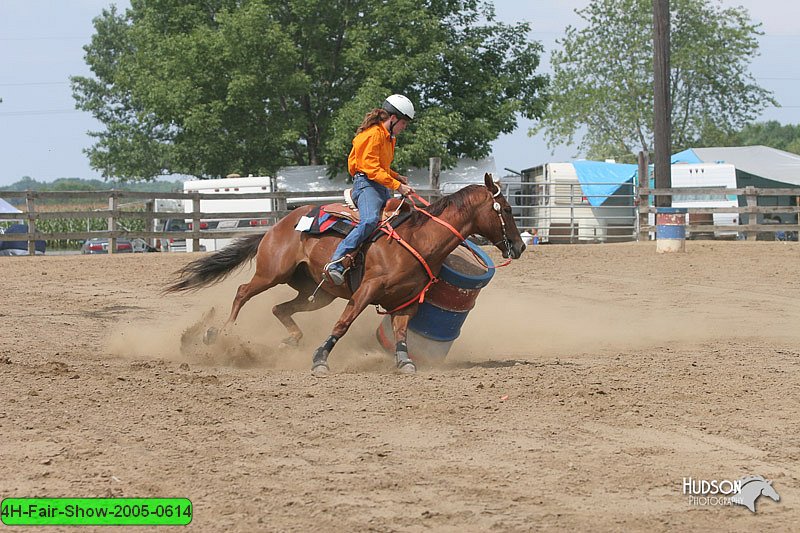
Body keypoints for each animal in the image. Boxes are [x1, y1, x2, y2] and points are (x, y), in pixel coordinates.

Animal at [164, 174, 524, 374]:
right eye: (506, 209)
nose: (519, 246)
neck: (418, 239)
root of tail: (277, 225)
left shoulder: (408, 302)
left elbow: (402, 334)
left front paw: (405, 362)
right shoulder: (366, 290)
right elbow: (343, 324)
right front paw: (320, 360)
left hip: (316, 293)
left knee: (280, 308)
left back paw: (288, 341)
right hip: (272, 273)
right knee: (241, 292)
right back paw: (219, 334)